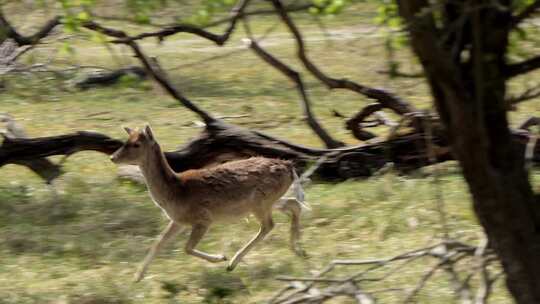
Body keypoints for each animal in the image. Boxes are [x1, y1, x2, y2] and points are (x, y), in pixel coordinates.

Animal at [109, 124, 308, 282]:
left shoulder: (204, 218)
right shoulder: (178, 220)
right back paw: (298, 250)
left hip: (259, 201)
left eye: (136, 144)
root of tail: (290, 167)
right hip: (268, 200)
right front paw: (137, 277)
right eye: (126, 140)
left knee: (269, 224)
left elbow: (187, 247)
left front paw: (221, 257)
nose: (113, 157)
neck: (175, 191)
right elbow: (158, 242)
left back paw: (233, 263)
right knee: (294, 204)